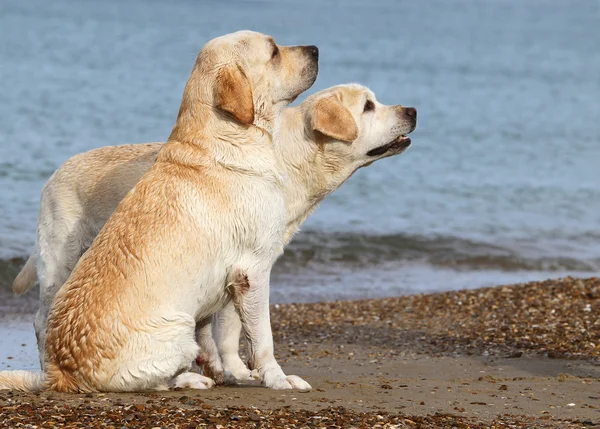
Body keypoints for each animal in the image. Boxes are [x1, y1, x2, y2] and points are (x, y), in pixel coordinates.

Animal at [0, 30, 318, 392]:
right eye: (274, 51)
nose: (316, 49)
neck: (227, 138)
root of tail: (59, 373)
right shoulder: (252, 270)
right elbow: (262, 338)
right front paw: (278, 379)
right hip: (169, 321)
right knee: (158, 381)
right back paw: (192, 379)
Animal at [10, 82, 418, 382]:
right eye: (368, 106)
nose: (412, 110)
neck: (292, 160)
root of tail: (57, 171)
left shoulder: (235, 264)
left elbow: (227, 328)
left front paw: (228, 369)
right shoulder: (249, 264)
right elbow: (244, 330)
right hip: (62, 261)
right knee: (40, 319)